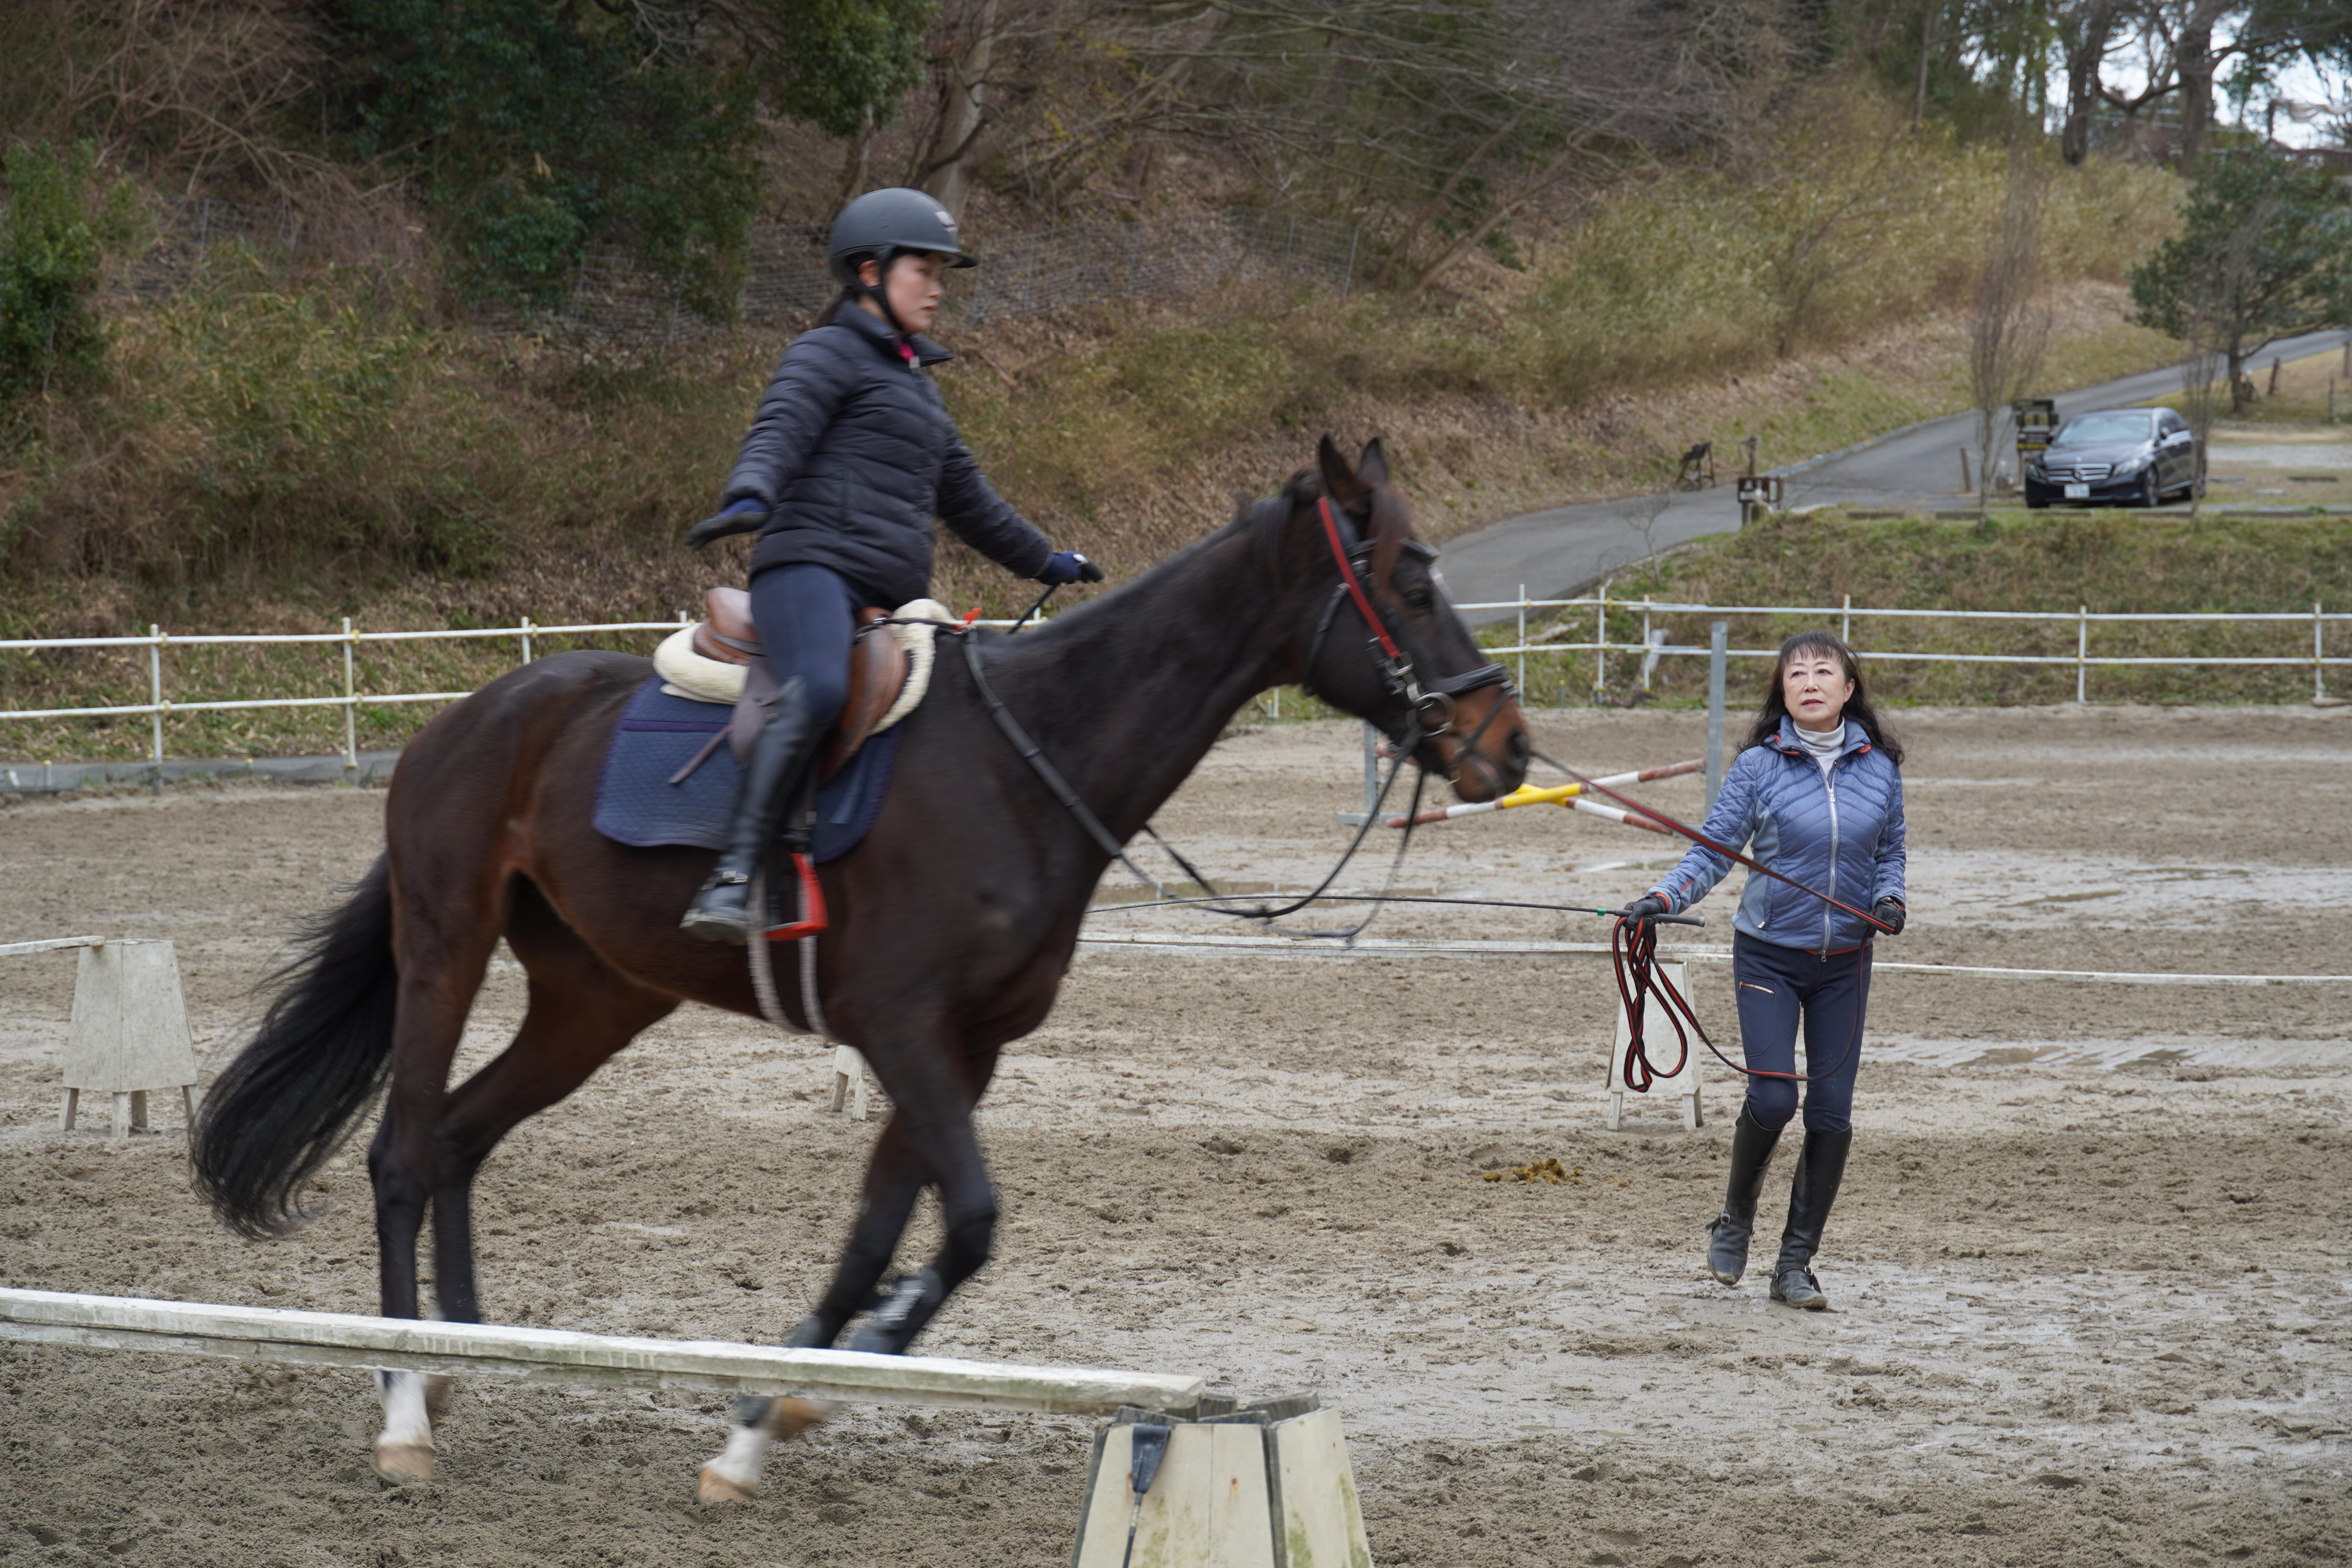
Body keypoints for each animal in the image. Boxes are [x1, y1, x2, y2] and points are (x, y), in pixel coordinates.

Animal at [193, 432, 1534, 1495]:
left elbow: (888, 1234)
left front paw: (770, 1414)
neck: (1028, 763)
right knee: (405, 1151)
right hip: (447, 945)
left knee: (465, 1135)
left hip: (598, 998)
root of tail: (467, 716)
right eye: (1413, 582)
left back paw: (471, 1360)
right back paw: (406, 1409)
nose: (1505, 746)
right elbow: (971, 1220)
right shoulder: (902, 1031)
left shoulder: (961, 1050)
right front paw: (805, 1395)